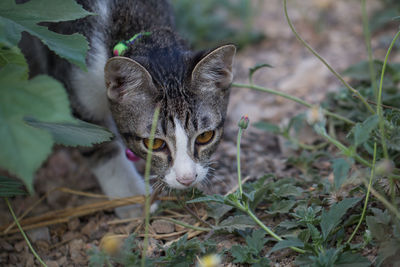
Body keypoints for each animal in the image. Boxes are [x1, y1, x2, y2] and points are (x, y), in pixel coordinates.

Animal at [20, 0, 236, 219]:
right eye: (154, 143)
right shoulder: (73, 82)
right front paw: (130, 196)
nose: (187, 179)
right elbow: (97, 142)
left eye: (205, 136)